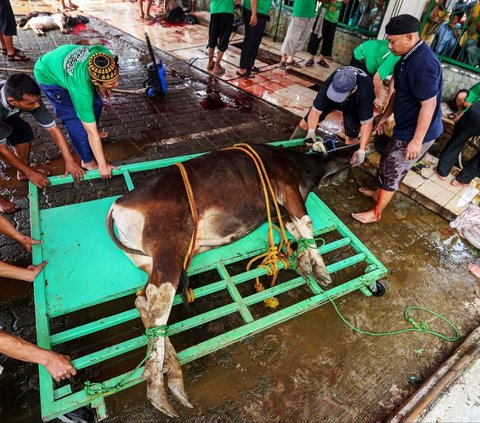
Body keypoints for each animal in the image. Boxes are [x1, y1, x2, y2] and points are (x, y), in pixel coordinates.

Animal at [106, 143, 360, 418]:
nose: (357, 149)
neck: (299, 163)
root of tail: (119, 205)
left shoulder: (277, 211)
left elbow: (295, 230)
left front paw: (305, 263)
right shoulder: (288, 188)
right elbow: (306, 223)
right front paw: (322, 271)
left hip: (147, 260)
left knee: (145, 302)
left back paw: (170, 369)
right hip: (168, 247)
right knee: (159, 302)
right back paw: (160, 389)